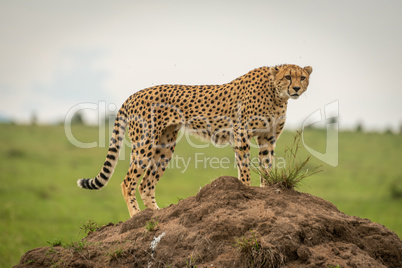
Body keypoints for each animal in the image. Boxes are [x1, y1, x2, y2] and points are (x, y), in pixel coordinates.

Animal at [77, 63, 312, 217]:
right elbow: (245, 168)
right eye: (288, 77)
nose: (296, 88)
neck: (276, 94)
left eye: (302, 77)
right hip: (145, 144)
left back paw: (157, 213)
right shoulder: (242, 135)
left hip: (165, 146)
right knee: (128, 182)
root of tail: (135, 94)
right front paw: (247, 189)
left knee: (146, 183)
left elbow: (266, 167)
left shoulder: (267, 139)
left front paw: (267, 189)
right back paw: (136, 215)